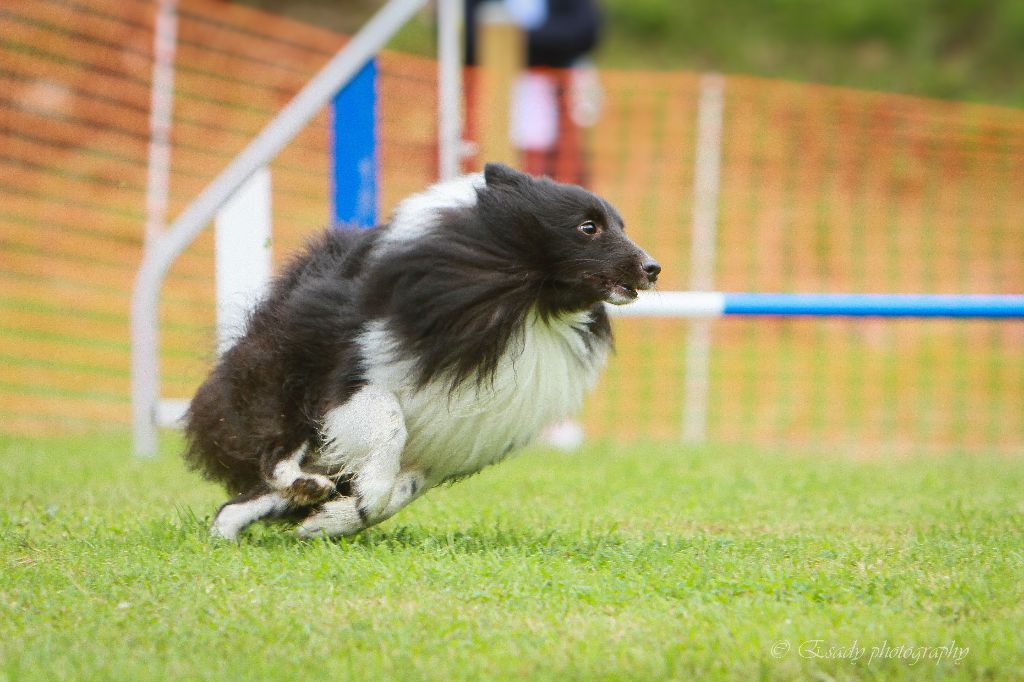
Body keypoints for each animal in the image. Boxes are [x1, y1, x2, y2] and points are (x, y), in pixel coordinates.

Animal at [185, 163, 659, 536]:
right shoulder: (359, 373)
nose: (653, 268)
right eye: (588, 227)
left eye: (622, 226)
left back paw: (235, 528)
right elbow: (388, 430)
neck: (525, 306)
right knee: (276, 450)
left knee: (240, 501)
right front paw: (362, 496)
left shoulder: (453, 442)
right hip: (286, 374)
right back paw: (296, 488)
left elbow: (403, 490)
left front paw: (332, 520)